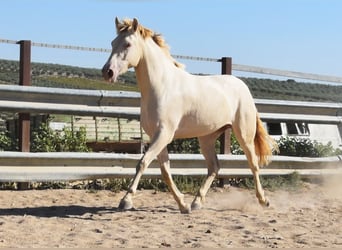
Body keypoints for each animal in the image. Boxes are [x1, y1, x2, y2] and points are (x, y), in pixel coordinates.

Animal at [102, 17, 278, 213]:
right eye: (112, 43)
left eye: (127, 44)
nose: (107, 72)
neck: (162, 86)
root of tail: (242, 86)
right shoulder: (157, 136)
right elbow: (165, 171)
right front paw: (183, 205)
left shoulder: (164, 134)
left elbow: (143, 163)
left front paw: (125, 201)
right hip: (207, 137)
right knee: (214, 166)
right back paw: (196, 202)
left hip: (244, 134)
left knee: (253, 163)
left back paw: (264, 200)